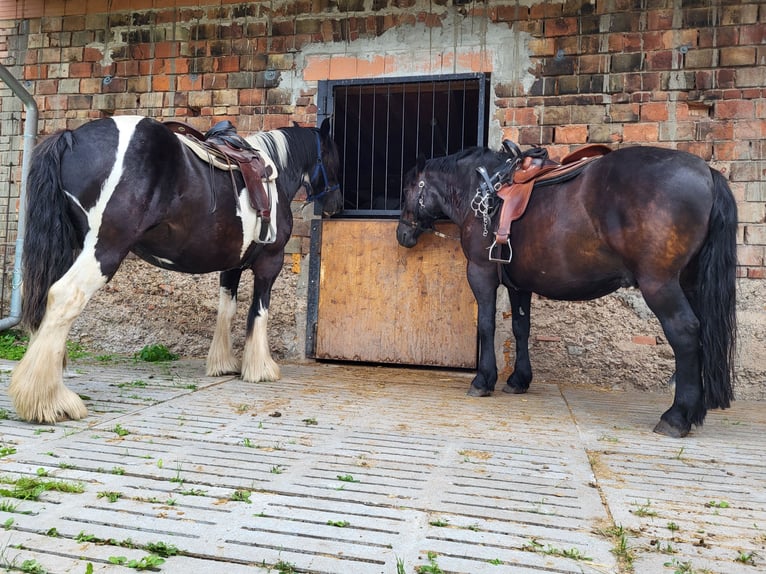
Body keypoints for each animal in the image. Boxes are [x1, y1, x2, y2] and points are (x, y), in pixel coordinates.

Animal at [9, 115, 343, 424]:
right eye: (334, 156)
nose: (336, 207)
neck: (272, 173)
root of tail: (72, 138)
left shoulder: (231, 266)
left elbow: (227, 309)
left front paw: (224, 363)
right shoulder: (269, 263)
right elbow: (258, 312)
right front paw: (260, 368)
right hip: (104, 249)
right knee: (65, 296)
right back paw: (49, 401)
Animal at [396, 144, 738, 438]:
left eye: (408, 189)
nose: (402, 234)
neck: (485, 192)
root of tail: (707, 173)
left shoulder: (481, 273)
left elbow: (486, 324)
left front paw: (483, 380)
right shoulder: (519, 284)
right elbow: (521, 328)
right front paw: (519, 379)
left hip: (660, 284)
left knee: (685, 333)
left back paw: (676, 416)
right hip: (689, 283)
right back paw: (694, 412)